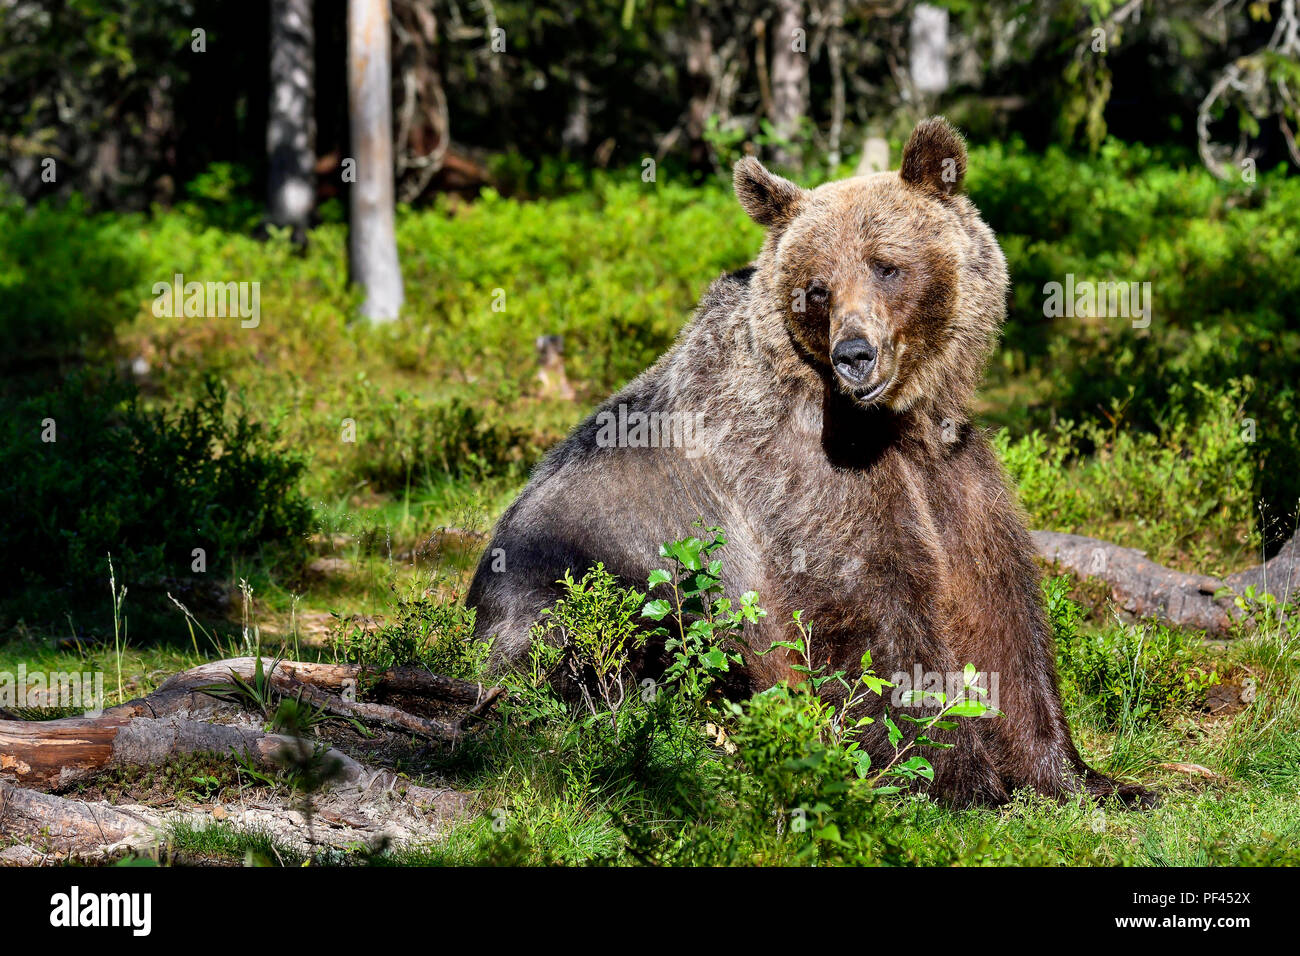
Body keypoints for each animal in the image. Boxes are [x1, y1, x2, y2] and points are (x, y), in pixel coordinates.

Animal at [467, 116, 1153, 808]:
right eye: (817, 287)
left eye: (887, 265)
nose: (855, 354)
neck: (891, 423)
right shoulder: (794, 476)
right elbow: (869, 610)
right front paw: (954, 778)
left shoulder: (950, 473)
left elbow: (998, 613)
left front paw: (1085, 778)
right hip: (578, 578)